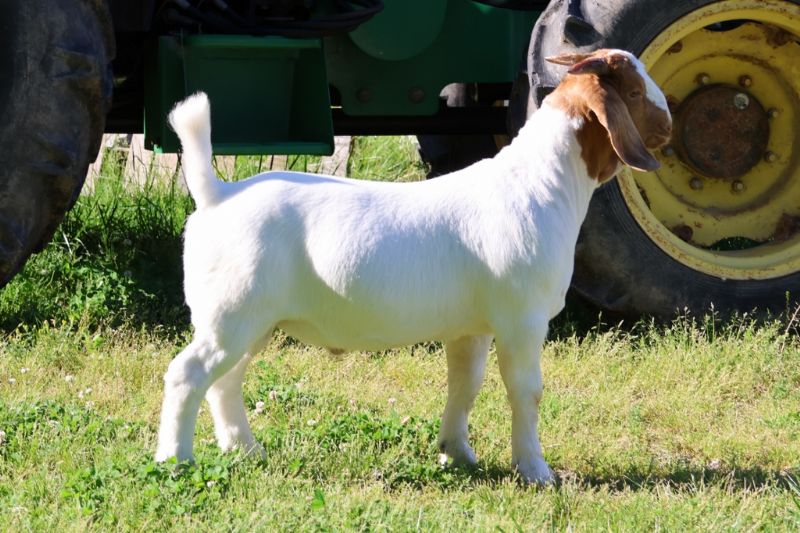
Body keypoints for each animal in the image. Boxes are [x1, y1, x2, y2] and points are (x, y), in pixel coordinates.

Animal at [156, 48, 672, 485]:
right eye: (633, 92)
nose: (668, 125)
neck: (542, 182)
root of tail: (218, 195)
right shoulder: (521, 320)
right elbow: (526, 391)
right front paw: (536, 471)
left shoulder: (472, 327)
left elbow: (465, 385)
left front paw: (457, 454)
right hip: (232, 312)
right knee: (187, 374)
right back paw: (174, 460)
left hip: (251, 320)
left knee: (225, 381)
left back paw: (244, 450)